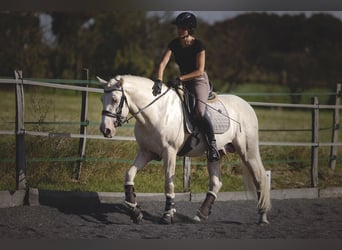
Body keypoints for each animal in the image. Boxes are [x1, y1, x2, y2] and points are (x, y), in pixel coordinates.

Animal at [97, 74, 272, 225]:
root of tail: (247, 105)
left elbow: (169, 184)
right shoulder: (146, 152)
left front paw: (167, 215)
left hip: (248, 152)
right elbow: (129, 175)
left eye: (115, 99)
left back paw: (263, 216)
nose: (105, 130)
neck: (157, 112)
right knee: (216, 183)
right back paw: (200, 215)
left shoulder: (170, 152)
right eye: (101, 99)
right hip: (216, 154)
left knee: (260, 178)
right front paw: (135, 211)